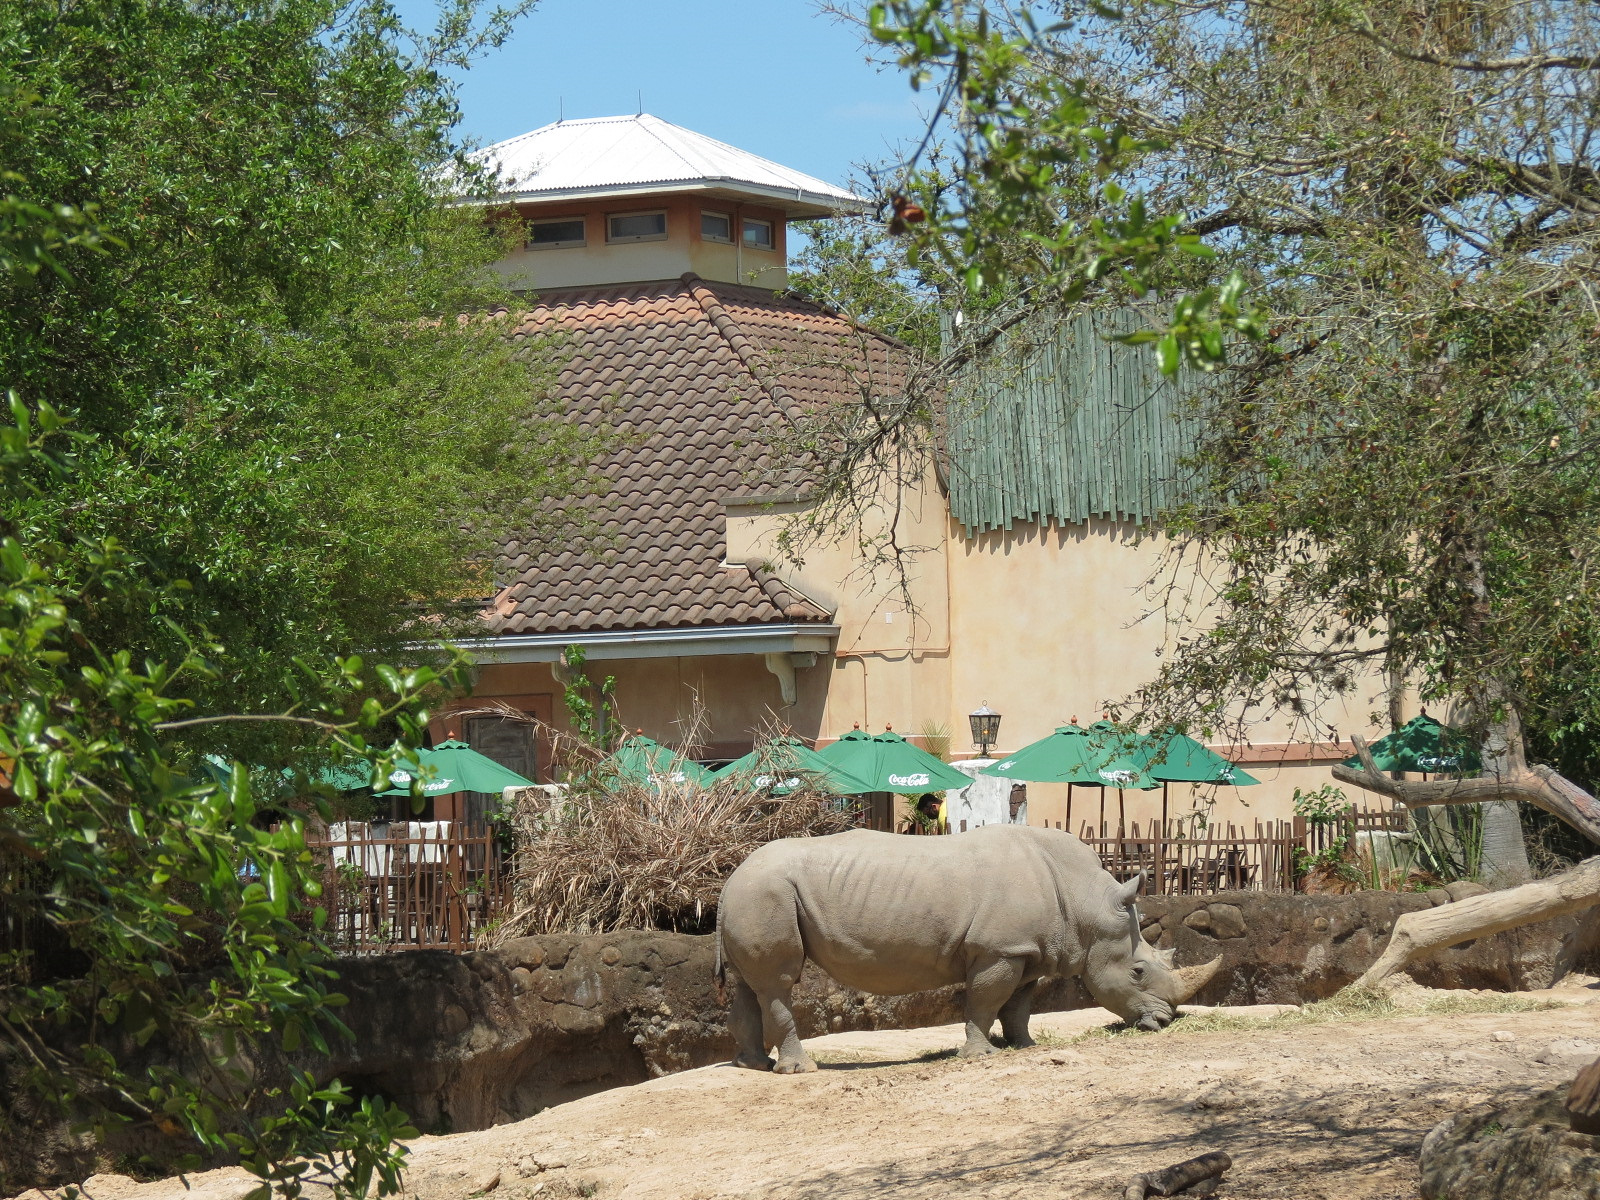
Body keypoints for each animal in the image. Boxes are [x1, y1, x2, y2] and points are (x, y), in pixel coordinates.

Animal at [715, 824, 1221, 1073]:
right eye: (1138, 971)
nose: (1164, 1022)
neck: (1087, 906)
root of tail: (728, 879)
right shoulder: (998, 950)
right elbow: (985, 1000)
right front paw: (981, 1057)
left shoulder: (1030, 950)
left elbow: (1019, 1003)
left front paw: (1025, 1046)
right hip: (766, 894)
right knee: (779, 982)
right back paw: (802, 1071)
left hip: (754, 896)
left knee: (751, 984)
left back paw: (752, 1065)